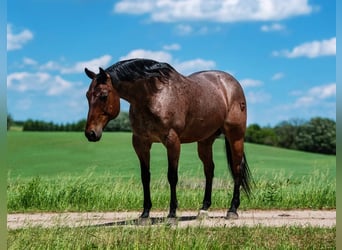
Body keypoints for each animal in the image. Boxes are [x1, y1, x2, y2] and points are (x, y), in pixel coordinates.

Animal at [84, 58, 252, 219]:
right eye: (87, 95)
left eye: (103, 95)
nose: (90, 133)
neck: (153, 97)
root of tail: (231, 83)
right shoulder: (141, 143)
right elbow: (145, 176)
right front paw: (145, 213)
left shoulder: (172, 142)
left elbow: (172, 176)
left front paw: (172, 213)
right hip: (205, 141)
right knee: (209, 170)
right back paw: (204, 208)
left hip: (235, 137)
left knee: (237, 169)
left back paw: (232, 210)